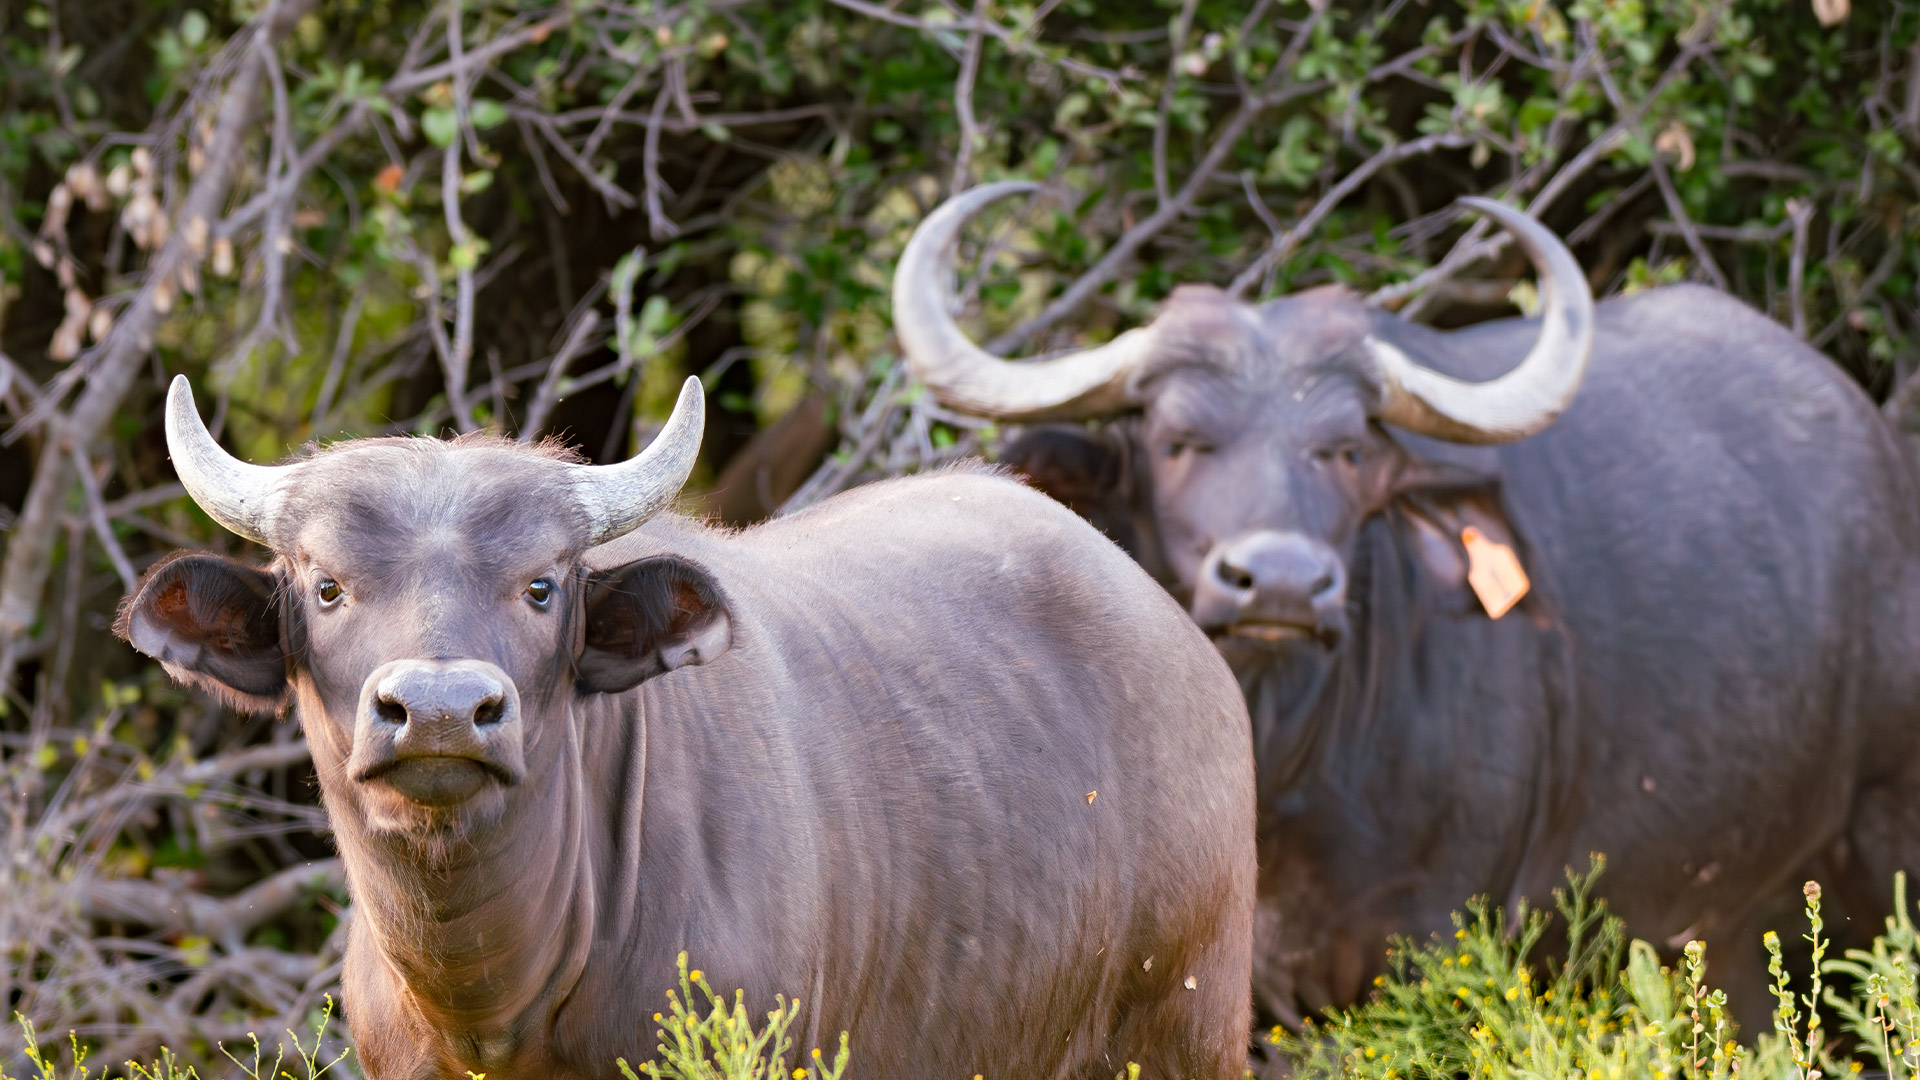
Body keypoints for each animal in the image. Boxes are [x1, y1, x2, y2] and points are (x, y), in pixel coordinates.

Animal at [893, 181, 1920, 1024]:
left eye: (1346, 449)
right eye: (1179, 440)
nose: (1280, 583)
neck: (1282, 764)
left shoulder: (1431, 940)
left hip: (1881, 839)